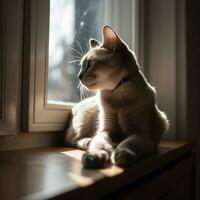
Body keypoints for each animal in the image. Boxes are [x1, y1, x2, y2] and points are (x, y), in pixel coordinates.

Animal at [64, 25, 169, 169]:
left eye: (90, 64)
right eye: (81, 66)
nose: (79, 76)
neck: (116, 95)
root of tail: (74, 108)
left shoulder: (139, 133)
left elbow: (128, 143)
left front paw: (121, 155)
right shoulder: (106, 131)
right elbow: (99, 144)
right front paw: (93, 156)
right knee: (73, 139)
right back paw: (91, 143)